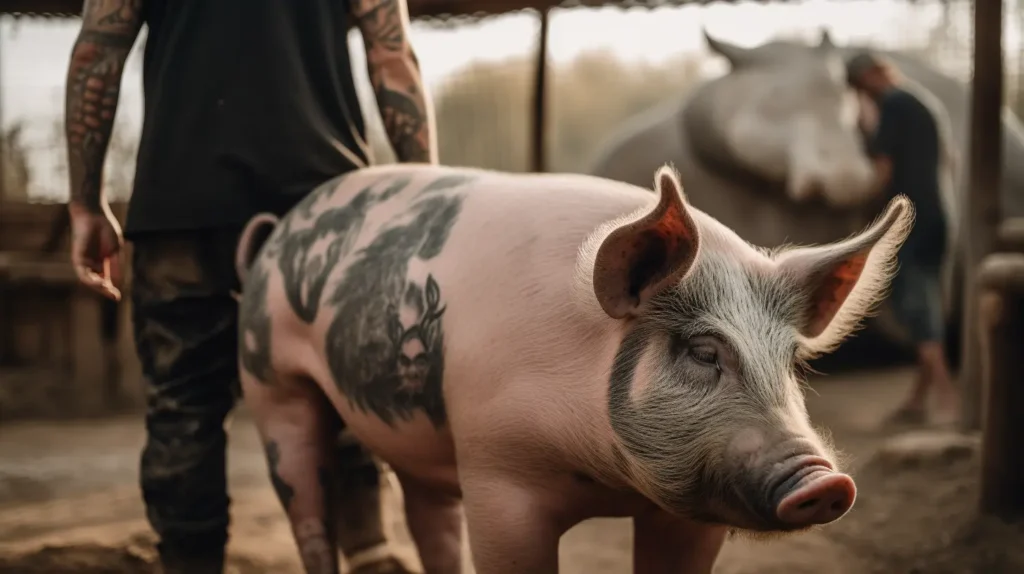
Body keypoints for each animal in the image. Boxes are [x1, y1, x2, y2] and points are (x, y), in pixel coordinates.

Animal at [234, 162, 913, 572]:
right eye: (703, 351)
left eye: (790, 360)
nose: (826, 483)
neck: (604, 480)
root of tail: (276, 236)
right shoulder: (496, 474)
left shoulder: (689, 512)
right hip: (271, 385)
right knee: (305, 498)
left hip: (418, 438)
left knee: (428, 517)